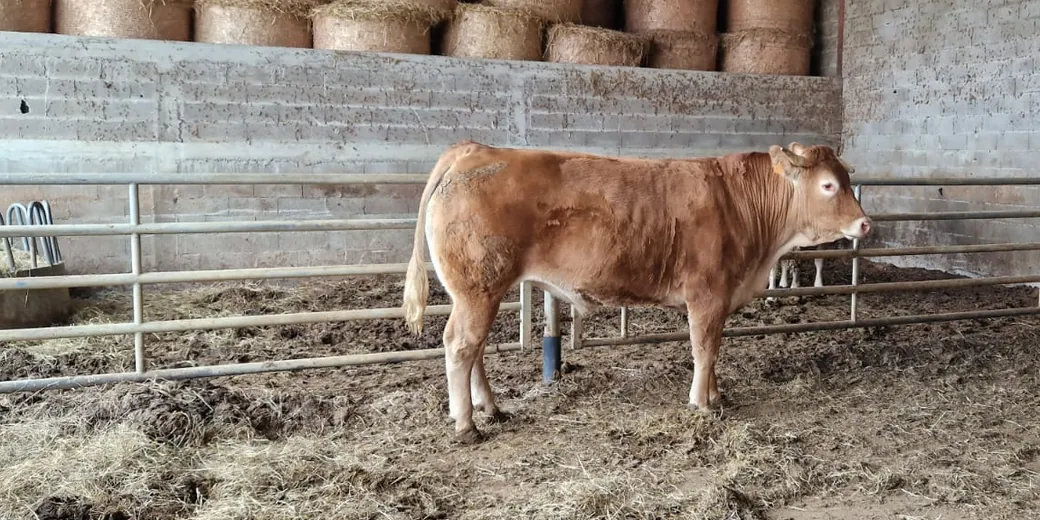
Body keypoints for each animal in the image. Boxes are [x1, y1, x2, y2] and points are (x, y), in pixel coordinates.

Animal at [401, 141, 871, 443]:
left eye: (846, 180)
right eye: (829, 185)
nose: (865, 224)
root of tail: (474, 149)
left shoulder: (720, 299)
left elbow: (714, 349)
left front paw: (716, 395)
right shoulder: (706, 293)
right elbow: (705, 348)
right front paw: (701, 403)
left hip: (482, 291)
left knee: (475, 348)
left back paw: (491, 409)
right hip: (477, 288)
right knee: (460, 345)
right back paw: (466, 425)